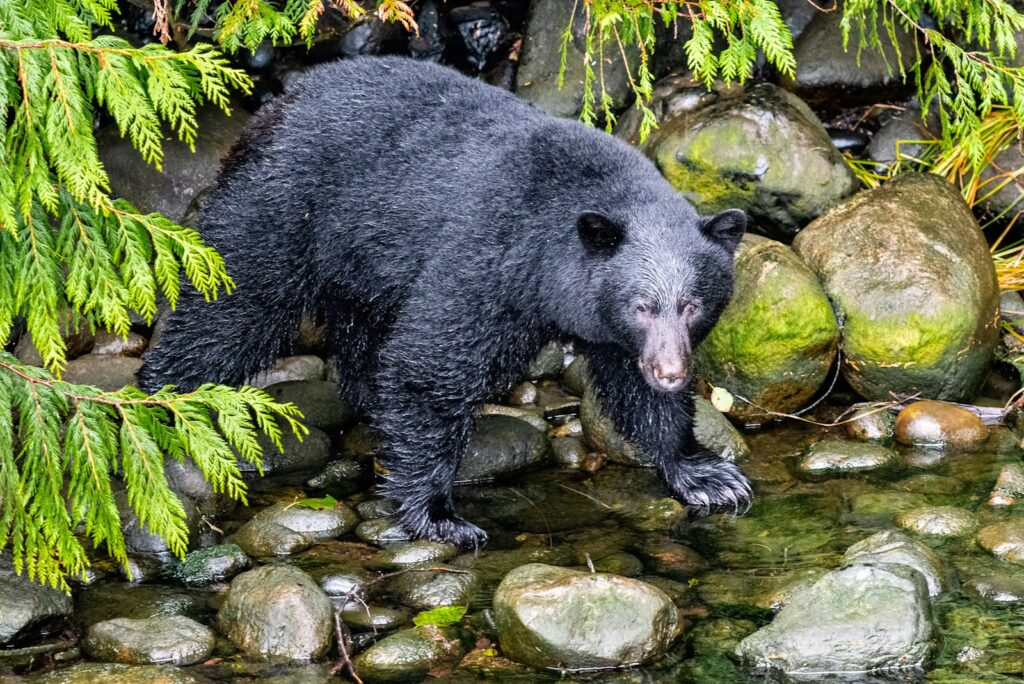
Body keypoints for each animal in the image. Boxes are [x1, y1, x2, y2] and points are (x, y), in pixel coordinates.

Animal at [138, 56, 753, 547]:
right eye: (642, 305)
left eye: (693, 305)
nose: (672, 372)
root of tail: (276, 106)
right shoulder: (489, 261)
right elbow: (431, 365)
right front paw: (439, 514)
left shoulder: (611, 332)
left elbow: (634, 390)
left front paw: (704, 474)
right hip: (282, 209)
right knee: (233, 310)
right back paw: (164, 402)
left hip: (361, 260)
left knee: (360, 331)